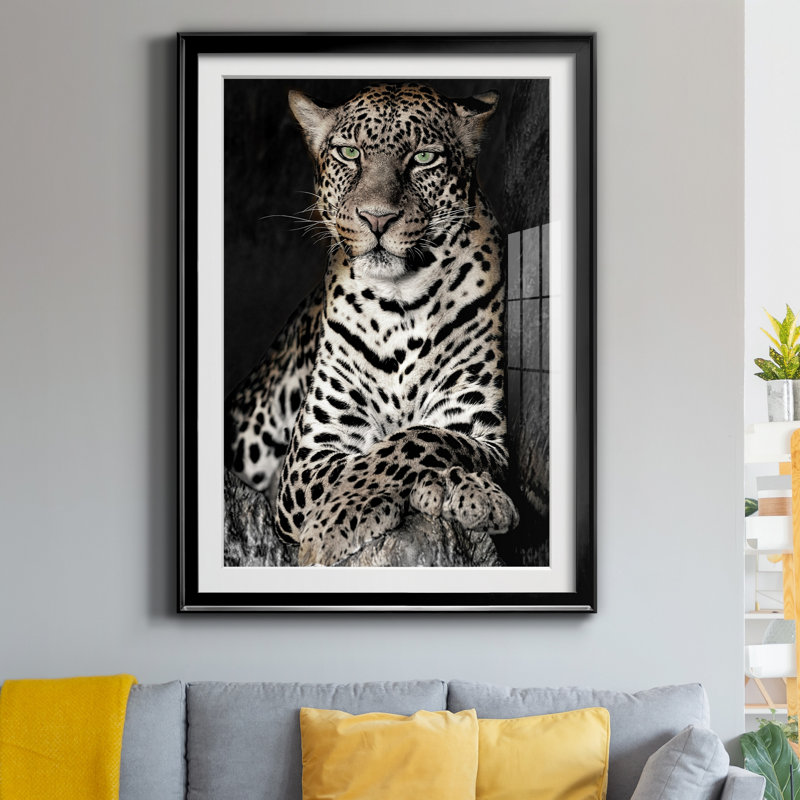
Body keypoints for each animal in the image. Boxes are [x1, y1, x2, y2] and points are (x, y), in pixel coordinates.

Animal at [226, 82, 519, 566]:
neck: (402, 303)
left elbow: (421, 439)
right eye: (349, 153)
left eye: (423, 158)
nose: (377, 217)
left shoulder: (480, 429)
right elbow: (372, 458)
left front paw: (470, 490)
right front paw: (333, 523)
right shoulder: (309, 455)